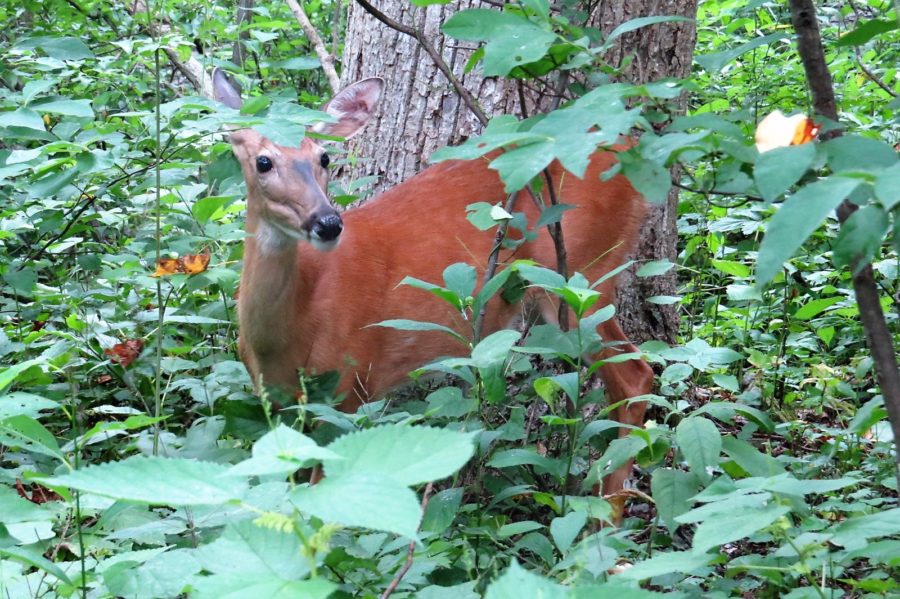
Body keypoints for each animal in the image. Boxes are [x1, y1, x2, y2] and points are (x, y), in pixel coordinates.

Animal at [212, 70, 654, 511]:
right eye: (263, 161)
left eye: (323, 158)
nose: (328, 222)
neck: (293, 325)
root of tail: (630, 148)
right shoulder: (277, 404)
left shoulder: (350, 384)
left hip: (583, 272)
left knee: (636, 372)